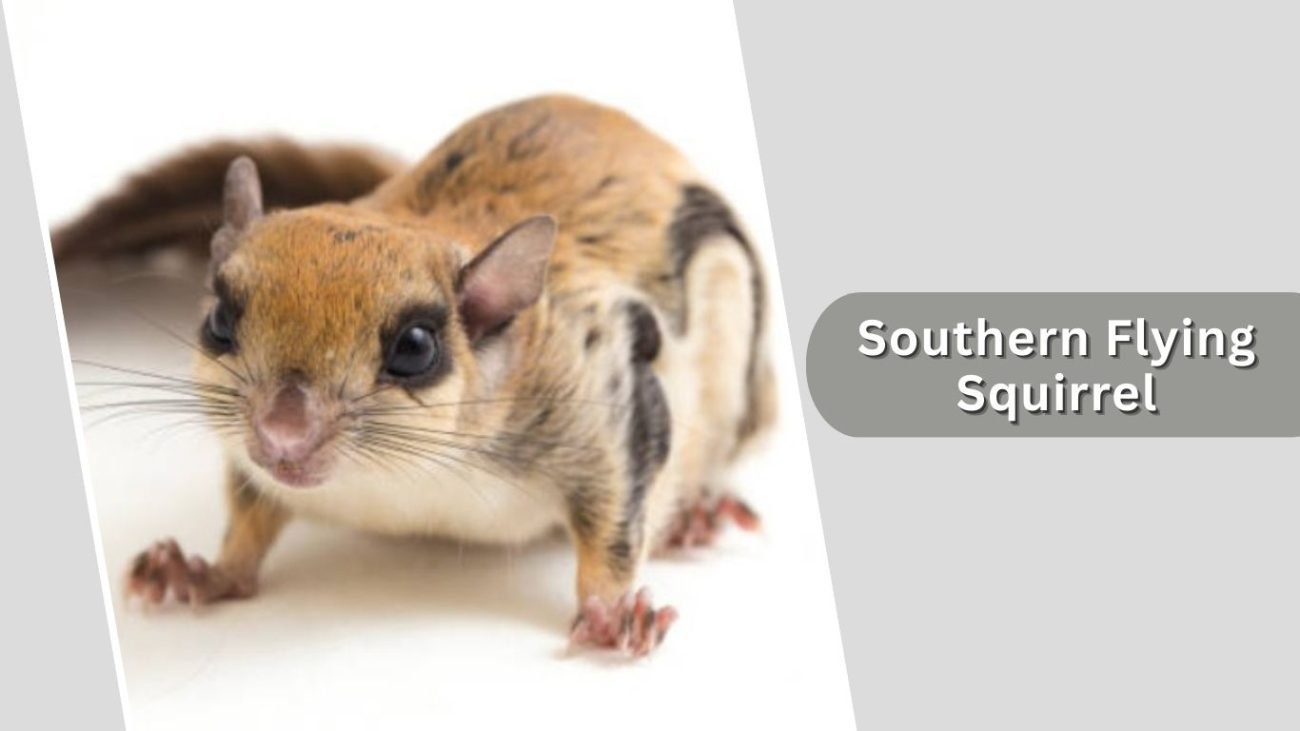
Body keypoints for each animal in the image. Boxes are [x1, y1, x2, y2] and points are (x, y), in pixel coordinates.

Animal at [57, 94, 777, 656]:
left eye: (414, 348)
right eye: (218, 321)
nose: (282, 431)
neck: (399, 477)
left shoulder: (605, 388)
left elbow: (615, 524)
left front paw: (610, 616)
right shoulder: (249, 463)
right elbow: (248, 524)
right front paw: (202, 572)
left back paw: (698, 513)